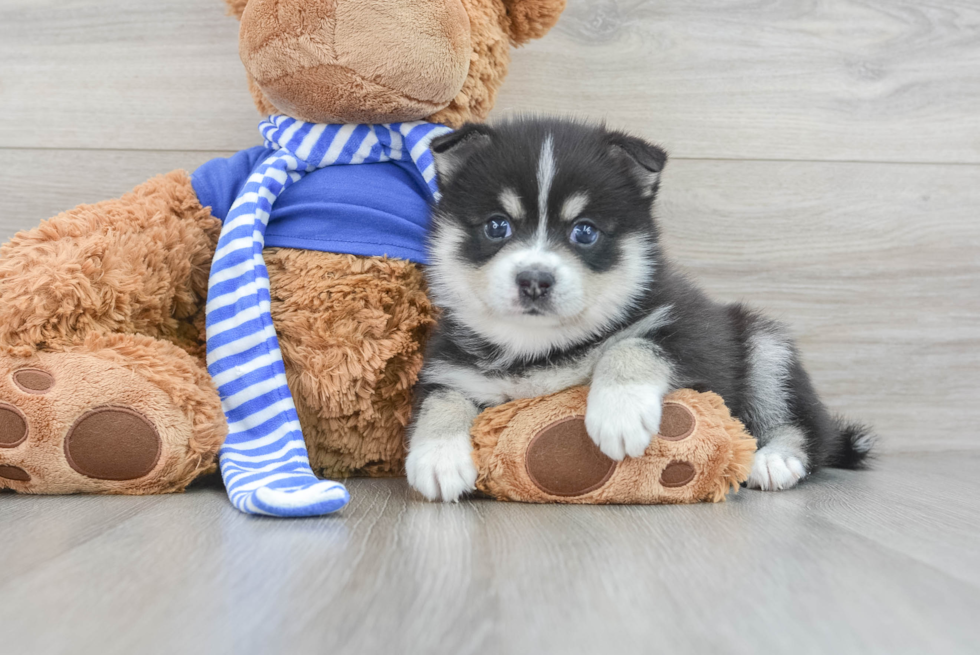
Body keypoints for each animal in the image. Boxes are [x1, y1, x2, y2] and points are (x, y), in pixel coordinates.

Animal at [406, 118, 872, 502]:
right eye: (497, 225)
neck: (539, 346)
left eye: (585, 231)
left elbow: (633, 345)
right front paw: (438, 456)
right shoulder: (449, 365)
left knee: (806, 429)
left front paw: (619, 411)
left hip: (764, 345)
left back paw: (774, 459)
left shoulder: (693, 333)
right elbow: (441, 399)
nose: (534, 279)